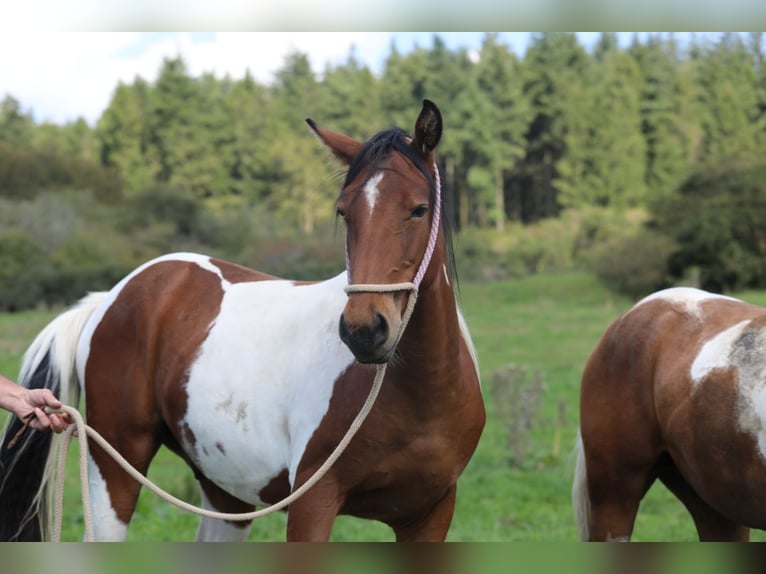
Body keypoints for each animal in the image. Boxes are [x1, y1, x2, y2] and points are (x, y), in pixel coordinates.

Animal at [0, 100, 485, 542]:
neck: (416, 395)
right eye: (344, 212)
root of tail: (111, 298)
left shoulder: (430, 515)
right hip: (116, 469)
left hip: (225, 492)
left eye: (419, 209)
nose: (364, 331)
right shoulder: (312, 504)